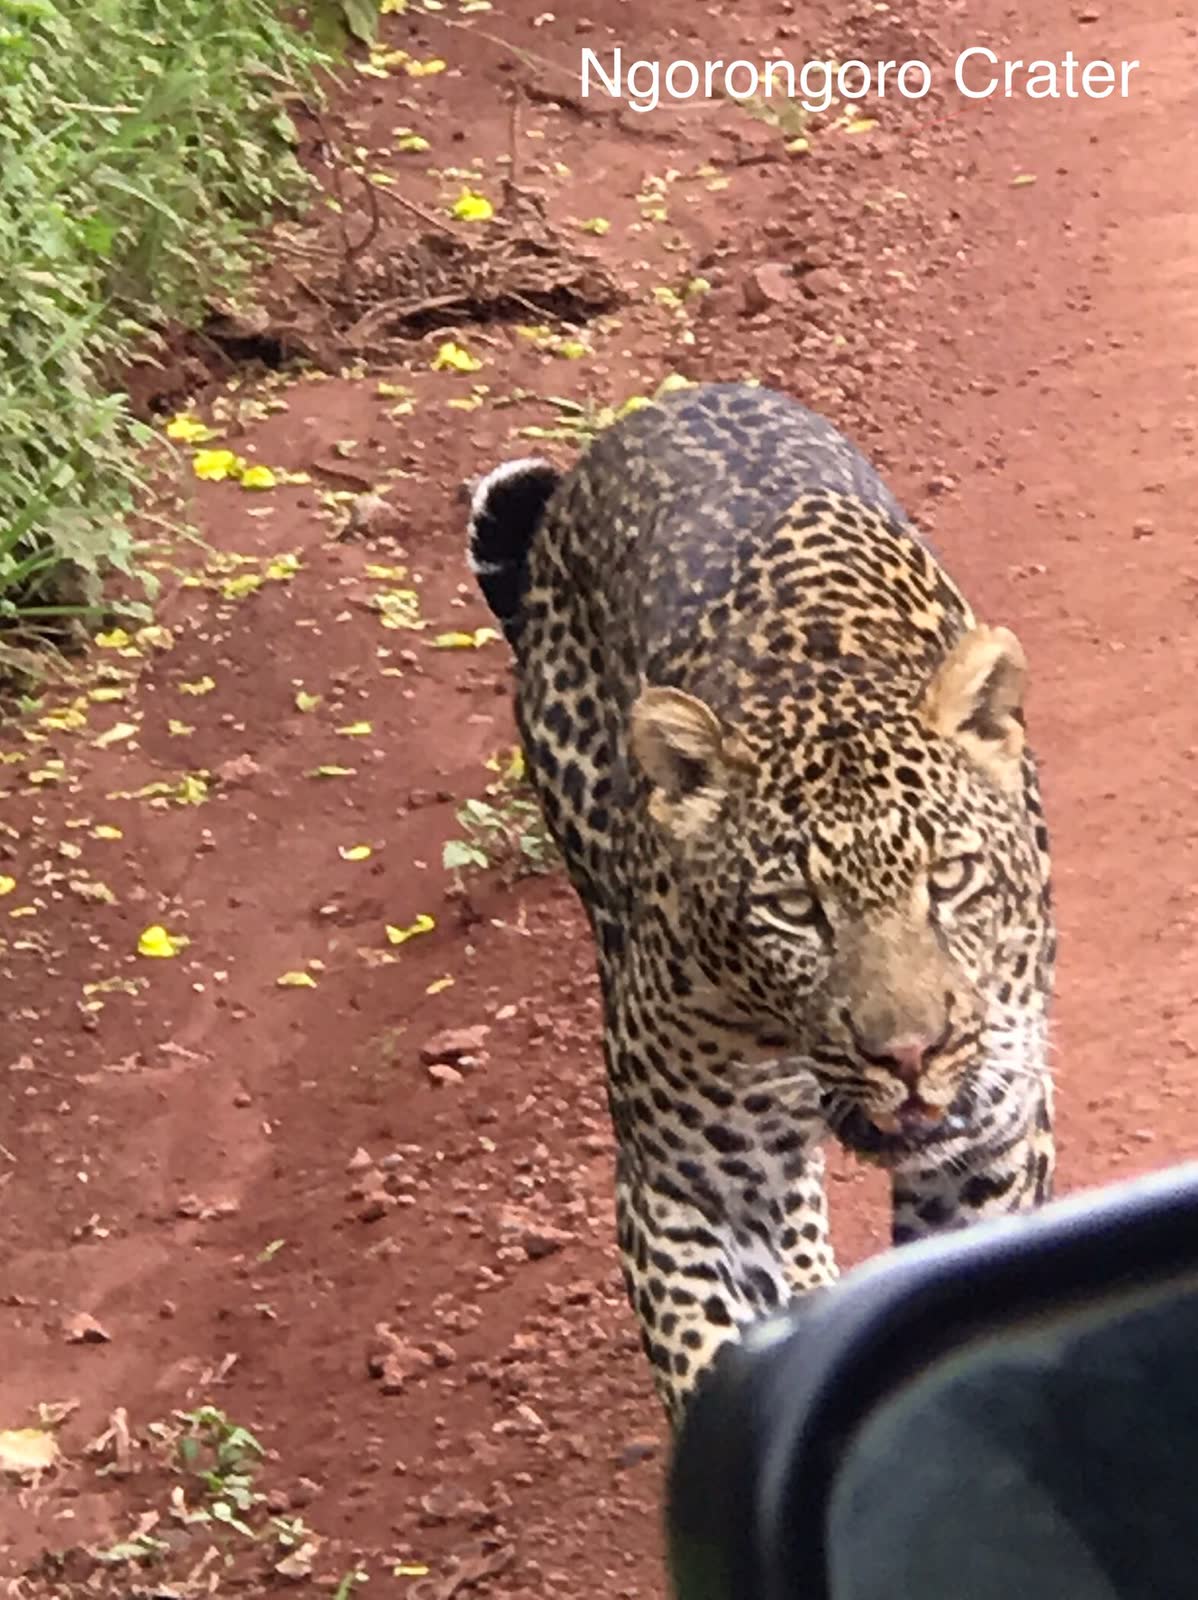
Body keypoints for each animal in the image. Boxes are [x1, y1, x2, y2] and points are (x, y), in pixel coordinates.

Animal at [465, 381, 1057, 1425]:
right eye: (794, 909)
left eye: (949, 878)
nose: (908, 1055)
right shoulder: (693, 1183)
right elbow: (708, 1351)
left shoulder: (987, 1146)